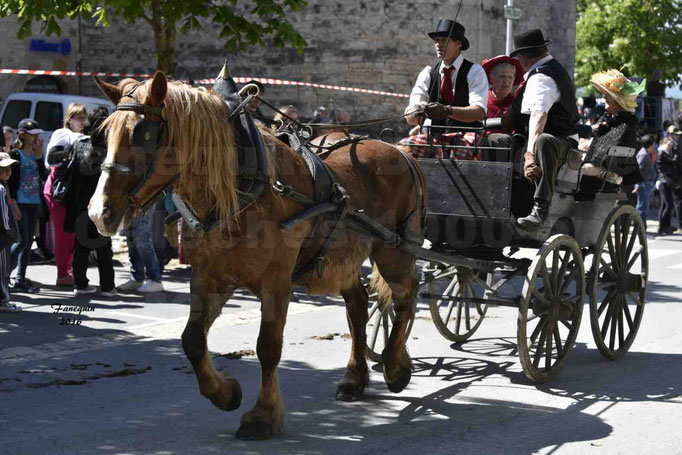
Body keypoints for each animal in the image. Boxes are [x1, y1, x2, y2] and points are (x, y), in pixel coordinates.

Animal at [87, 72, 422, 442]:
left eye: (143, 134)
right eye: (104, 133)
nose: (99, 213)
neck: (241, 187)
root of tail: (398, 150)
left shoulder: (276, 284)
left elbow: (268, 347)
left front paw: (262, 415)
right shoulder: (209, 277)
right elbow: (192, 340)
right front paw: (226, 393)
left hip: (392, 250)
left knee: (406, 295)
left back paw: (395, 366)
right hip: (343, 259)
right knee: (359, 306)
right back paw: (354, 378)